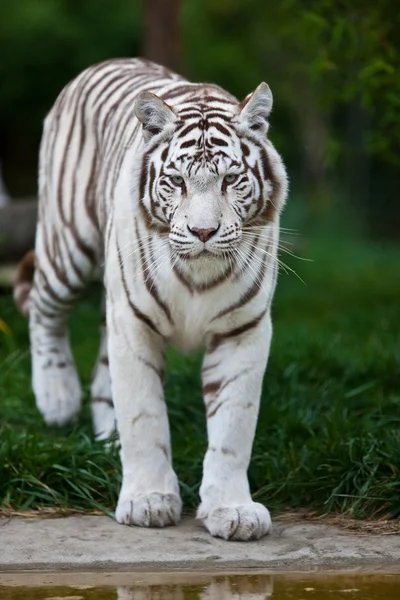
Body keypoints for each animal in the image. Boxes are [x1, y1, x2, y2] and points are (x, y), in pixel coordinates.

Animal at [13, 58, 288, 540]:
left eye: (231, 180)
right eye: (176, 181)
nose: (203, 232)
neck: (198, 275)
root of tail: (106, 62)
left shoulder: (243, 330)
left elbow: (233, 428)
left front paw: (232, 510)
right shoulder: (134, 324)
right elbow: (144, 416)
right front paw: (148, 500)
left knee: (101, 377)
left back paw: (107, 441)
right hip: (69, 245)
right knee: (45, 308)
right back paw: (57, 396)